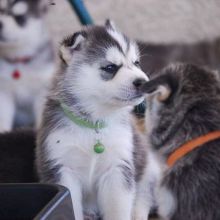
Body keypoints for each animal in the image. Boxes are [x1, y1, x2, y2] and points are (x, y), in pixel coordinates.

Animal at [0, 0, 55, 131]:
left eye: (19, 18)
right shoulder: (4, 91)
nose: (0, 23)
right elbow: (3, 116)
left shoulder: (42, 89)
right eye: (0, 11)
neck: (19, 60)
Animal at [35, 21, 153, 220]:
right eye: (110, 68)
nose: (144, 81)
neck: (93, 124)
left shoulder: (118, 168)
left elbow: (118, 210)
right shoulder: (63, 168)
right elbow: (72, 207)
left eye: (136, 62)